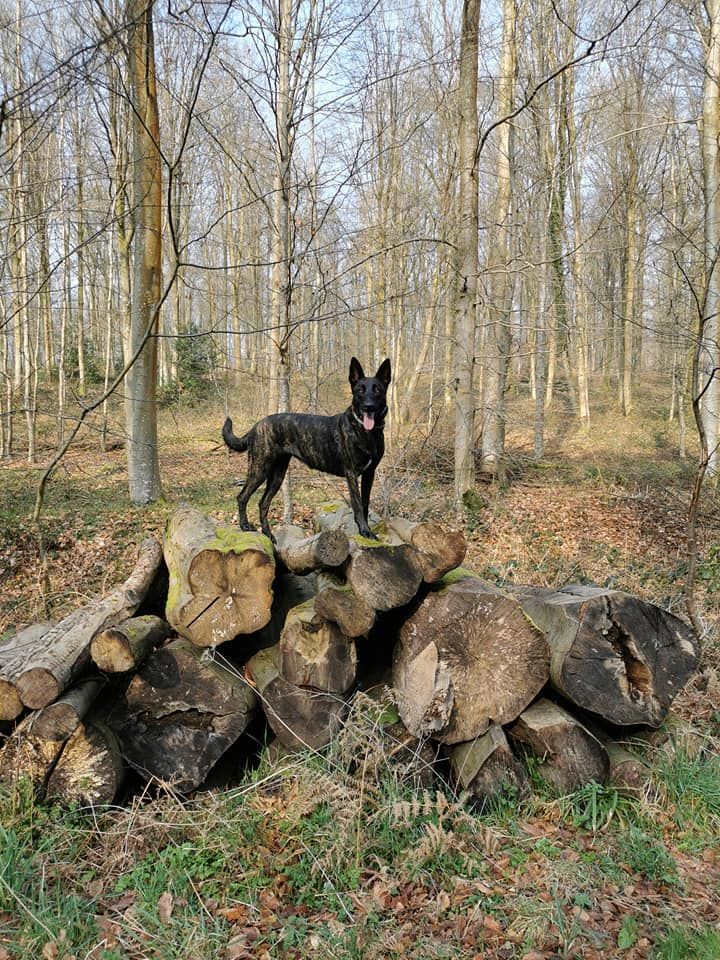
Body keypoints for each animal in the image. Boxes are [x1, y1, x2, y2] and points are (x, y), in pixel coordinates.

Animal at [222, 357, 391, 541]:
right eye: (360, 390)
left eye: (377, 390)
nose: (368, 406)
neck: (365, 432)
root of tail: (255, 427)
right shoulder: (351, 474)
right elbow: (358, 504)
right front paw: (364, 531)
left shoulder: (369, 474)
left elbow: (365, 503)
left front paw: (366, 530)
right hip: (259, 469)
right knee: (242, 496)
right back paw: (244, 525)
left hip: (277, 475)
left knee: (263, 503)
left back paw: (269, 535)